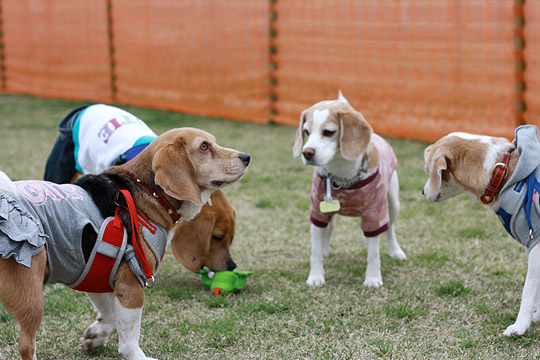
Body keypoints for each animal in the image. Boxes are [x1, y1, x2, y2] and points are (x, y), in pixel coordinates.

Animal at [0, 128, 250, 360]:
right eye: (204, 147)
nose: (246, 157)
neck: (147, 191)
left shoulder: (96, 276)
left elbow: (109, 316)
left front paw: (95, 336)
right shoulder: (132, 286)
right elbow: (129, 338)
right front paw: (138, 356)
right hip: (33, 298)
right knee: (26, 346)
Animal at [296, 92, 404, 286]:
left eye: (328, 132)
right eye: (306, 131)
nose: (306, 153)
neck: (342, 176)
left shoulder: (374, 216)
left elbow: (373, 254)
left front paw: (373, 279)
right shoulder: (317, 212)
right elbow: (315, 252)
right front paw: (315, 277)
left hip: (392, 204)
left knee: (390, 229)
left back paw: (396, 251)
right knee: (330, 227)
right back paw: (325, 249)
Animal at [422, 125, 540, 336]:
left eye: (429, 171)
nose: (422, 191)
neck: (503, 172)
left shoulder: (536, 247)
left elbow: (528, 292)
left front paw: (520, 326)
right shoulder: (531, 243)